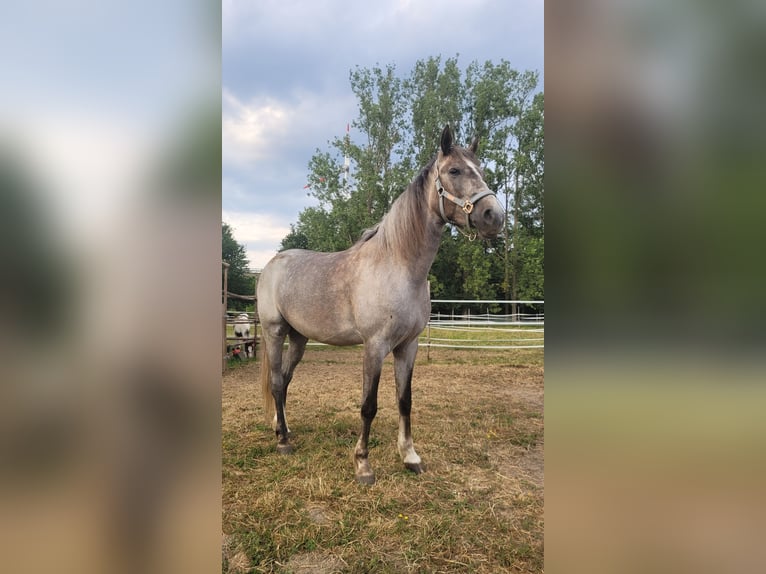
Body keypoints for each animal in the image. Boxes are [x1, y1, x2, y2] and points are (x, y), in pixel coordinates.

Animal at [260, 126, 510, 486]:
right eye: (454, 171)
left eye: (481, 170)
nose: (494, 216)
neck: (398, 266)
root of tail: (272, 264)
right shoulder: (375, 345)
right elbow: (369, 405)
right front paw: (363, 464)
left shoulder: (408, 345)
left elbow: (404, 400)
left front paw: (410, 456)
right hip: (274, 332)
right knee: (278, 382)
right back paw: (282, 442)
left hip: (299, 338)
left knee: (285, 381)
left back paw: (284, 428)